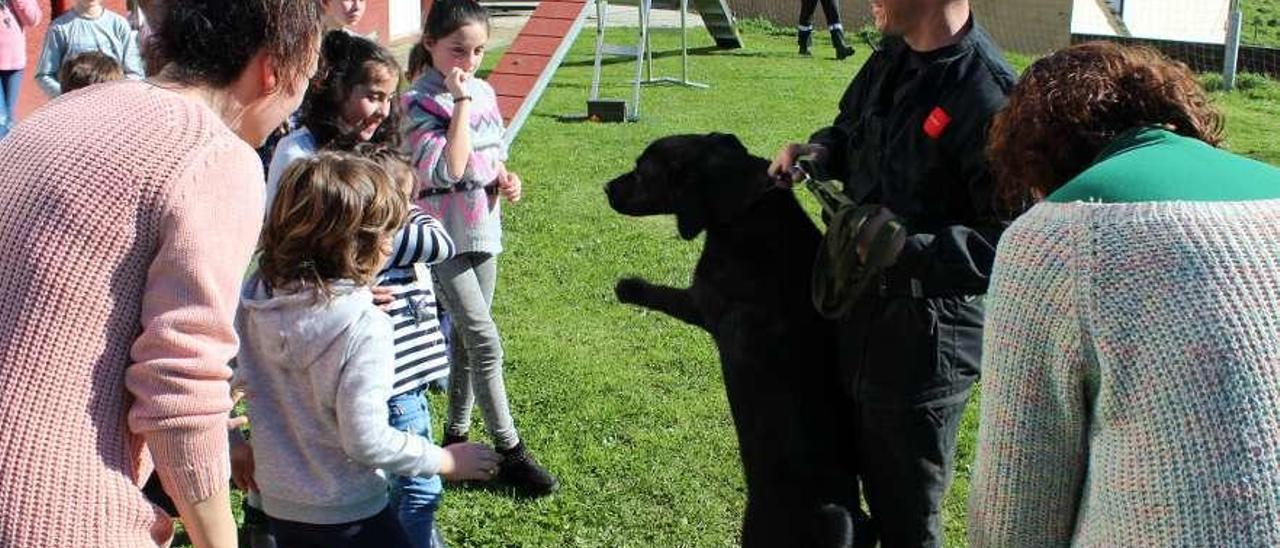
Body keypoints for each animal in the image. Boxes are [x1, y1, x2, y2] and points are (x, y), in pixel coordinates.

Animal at [606, 133, 865, 548]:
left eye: (642, 172)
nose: (607, 188)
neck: (744, 205)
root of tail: (840, 511)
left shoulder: (702, 301)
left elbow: (662, 295)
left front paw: (629, 287)